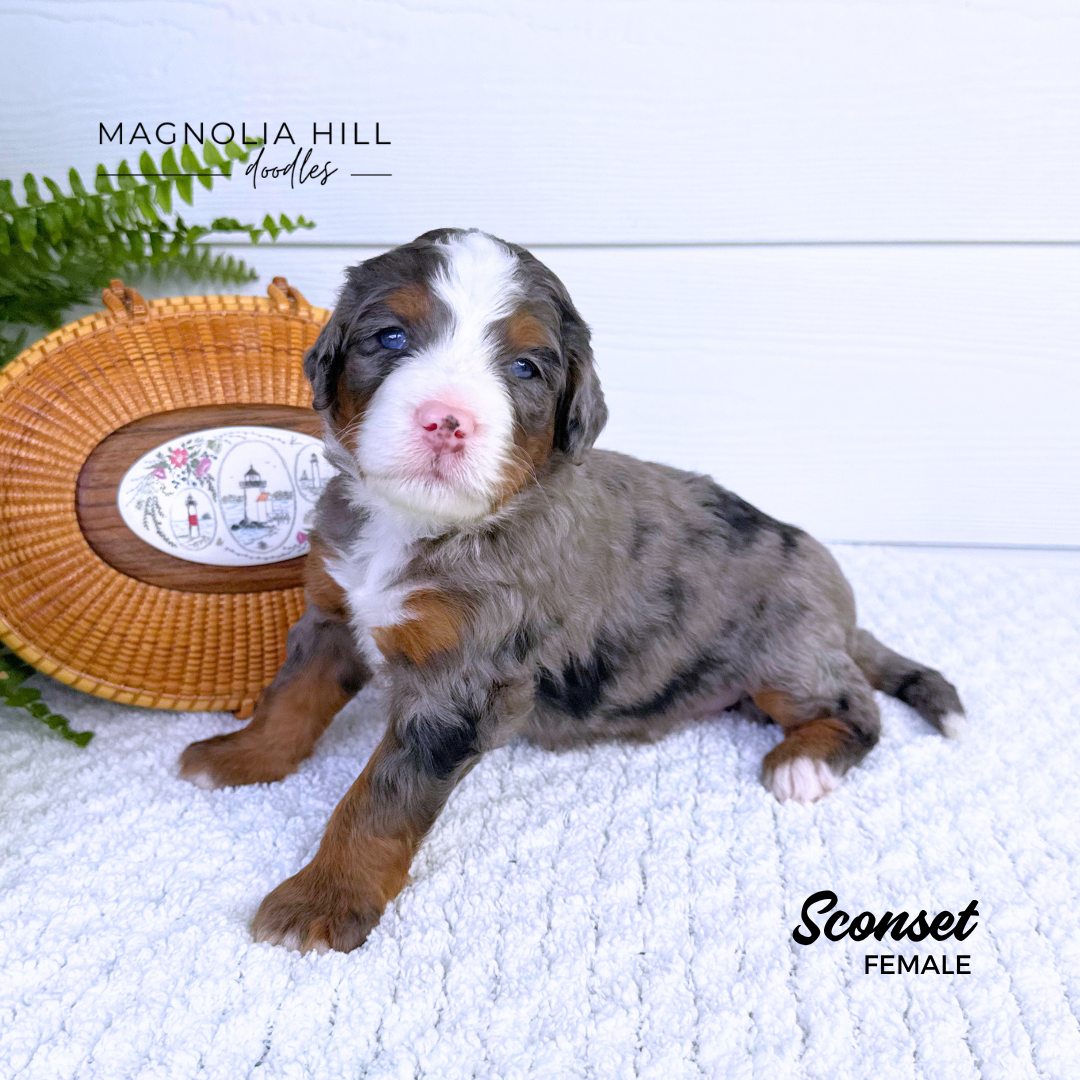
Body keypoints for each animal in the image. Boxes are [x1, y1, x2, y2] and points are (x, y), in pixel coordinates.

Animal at [179, 228, 966, 954]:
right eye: (390, 336)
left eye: (525, 367)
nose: (446, 420)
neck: (421, 526)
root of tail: (839, 606)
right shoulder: (334, 611)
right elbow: (291, 698)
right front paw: (238, 757)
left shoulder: (462, 681)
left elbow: (379, 799)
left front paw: (321, 900)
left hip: (786, 653)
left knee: (855, 704)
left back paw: (805, 764)